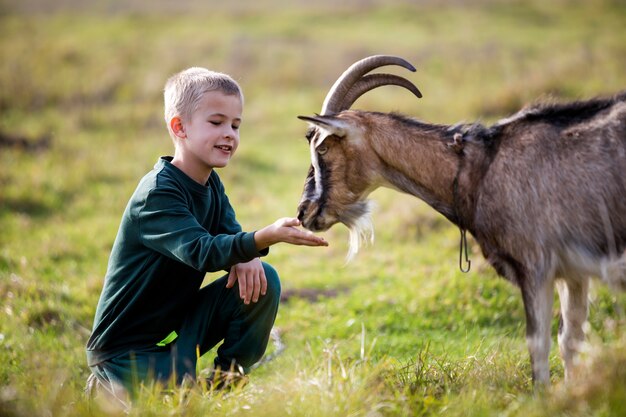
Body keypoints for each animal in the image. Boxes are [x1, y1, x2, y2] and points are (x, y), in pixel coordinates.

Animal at [294, 54, 624, 384]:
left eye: (323, 146)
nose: (303, 212)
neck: (480, 168)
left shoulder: (535, 264)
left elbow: (538, 347)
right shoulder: (574, 273)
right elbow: (571, 341)